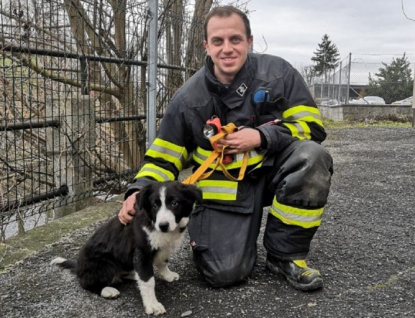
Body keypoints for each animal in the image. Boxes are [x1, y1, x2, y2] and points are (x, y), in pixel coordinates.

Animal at [51, 181, 204, 316]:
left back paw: (132, 275)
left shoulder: (163, 248)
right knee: (87, 284)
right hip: (104, 264)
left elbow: (162, 262)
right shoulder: (142, 254)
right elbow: (148, 281)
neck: (153, 222)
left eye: (175, 203)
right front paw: (152, 305)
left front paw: (167, 275)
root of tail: (79, 268)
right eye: (155, 205)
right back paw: (107, 290)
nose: (163, 226)